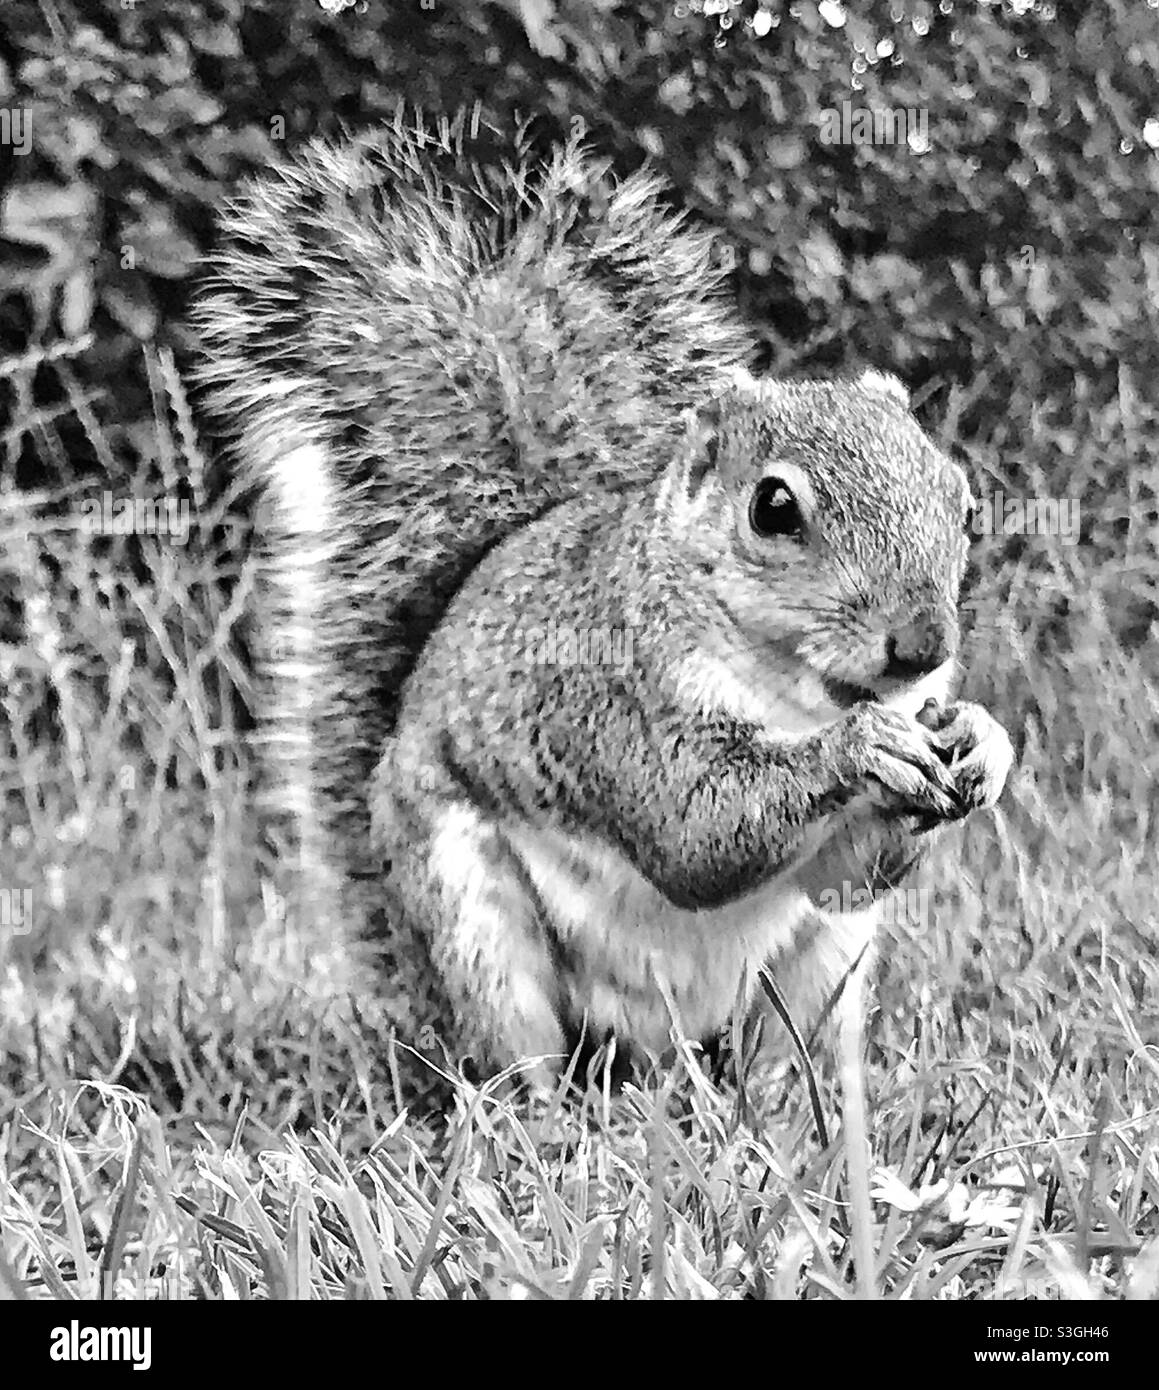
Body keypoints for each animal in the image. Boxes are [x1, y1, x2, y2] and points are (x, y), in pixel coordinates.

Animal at [194, 111, 1006, 1095]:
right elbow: (695, 834)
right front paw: (862, 746)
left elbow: (850, 874)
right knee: (513, 1054)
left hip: (822, 966)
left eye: (960, 503)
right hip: (472, 921)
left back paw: (781, 1104)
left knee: (784, 1047)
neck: (794, 692)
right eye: (773, 509)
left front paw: (984, 743)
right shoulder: (608, 707)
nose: (923, 647)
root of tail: (652, 1059)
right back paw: (536, 1111)